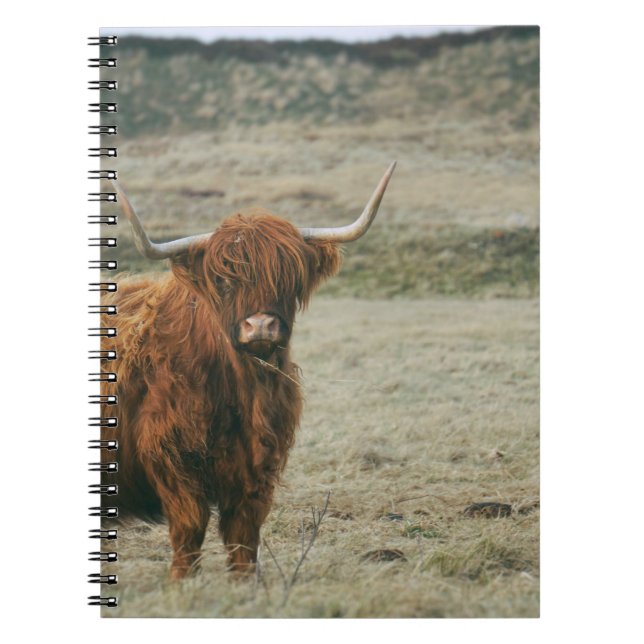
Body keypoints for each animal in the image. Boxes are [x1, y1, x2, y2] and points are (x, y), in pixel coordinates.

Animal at [101, 162, 396, 579]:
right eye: (224, 280)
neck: (242, 391)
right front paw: (181, 585)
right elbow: (189, 530)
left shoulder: (257, 469)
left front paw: (245, 585)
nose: (260, 326)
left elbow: (243, 537)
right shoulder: (171, 458)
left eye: (289, 277)